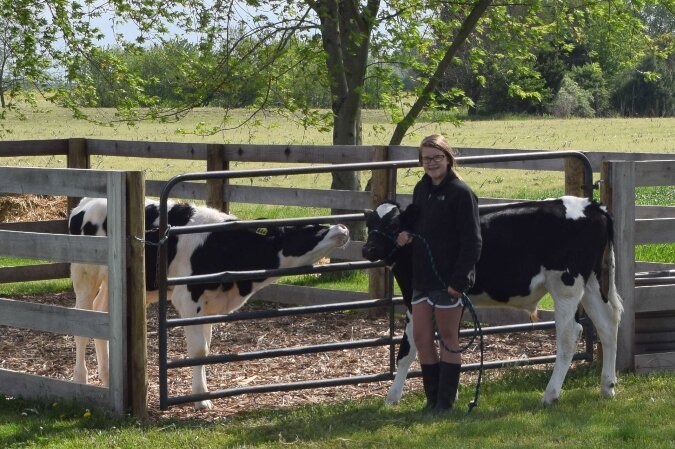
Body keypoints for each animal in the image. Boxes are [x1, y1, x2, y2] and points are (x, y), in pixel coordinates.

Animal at [69, 196, 352, 406]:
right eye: (309, 228)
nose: (343, 227)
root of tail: (87, 202)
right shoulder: (187, 298)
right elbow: (198, 350)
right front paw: (200, 399)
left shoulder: (210, 304)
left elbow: (205, 349)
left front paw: (202, 392)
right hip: (84, 274)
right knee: (81, 322)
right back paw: (81, 380)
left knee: (100, 317)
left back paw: (107, 378)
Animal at [364, 195, 624, 402]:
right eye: (370, 224)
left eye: (393, 224)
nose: (368, 249)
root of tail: (592, 205)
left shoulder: (416, 298)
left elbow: (408, 349)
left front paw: (392, 398)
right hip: (591, 284)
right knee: (608, 325)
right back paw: (607, 387)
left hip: (565, 286)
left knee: (570, 335)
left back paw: (550, 394)